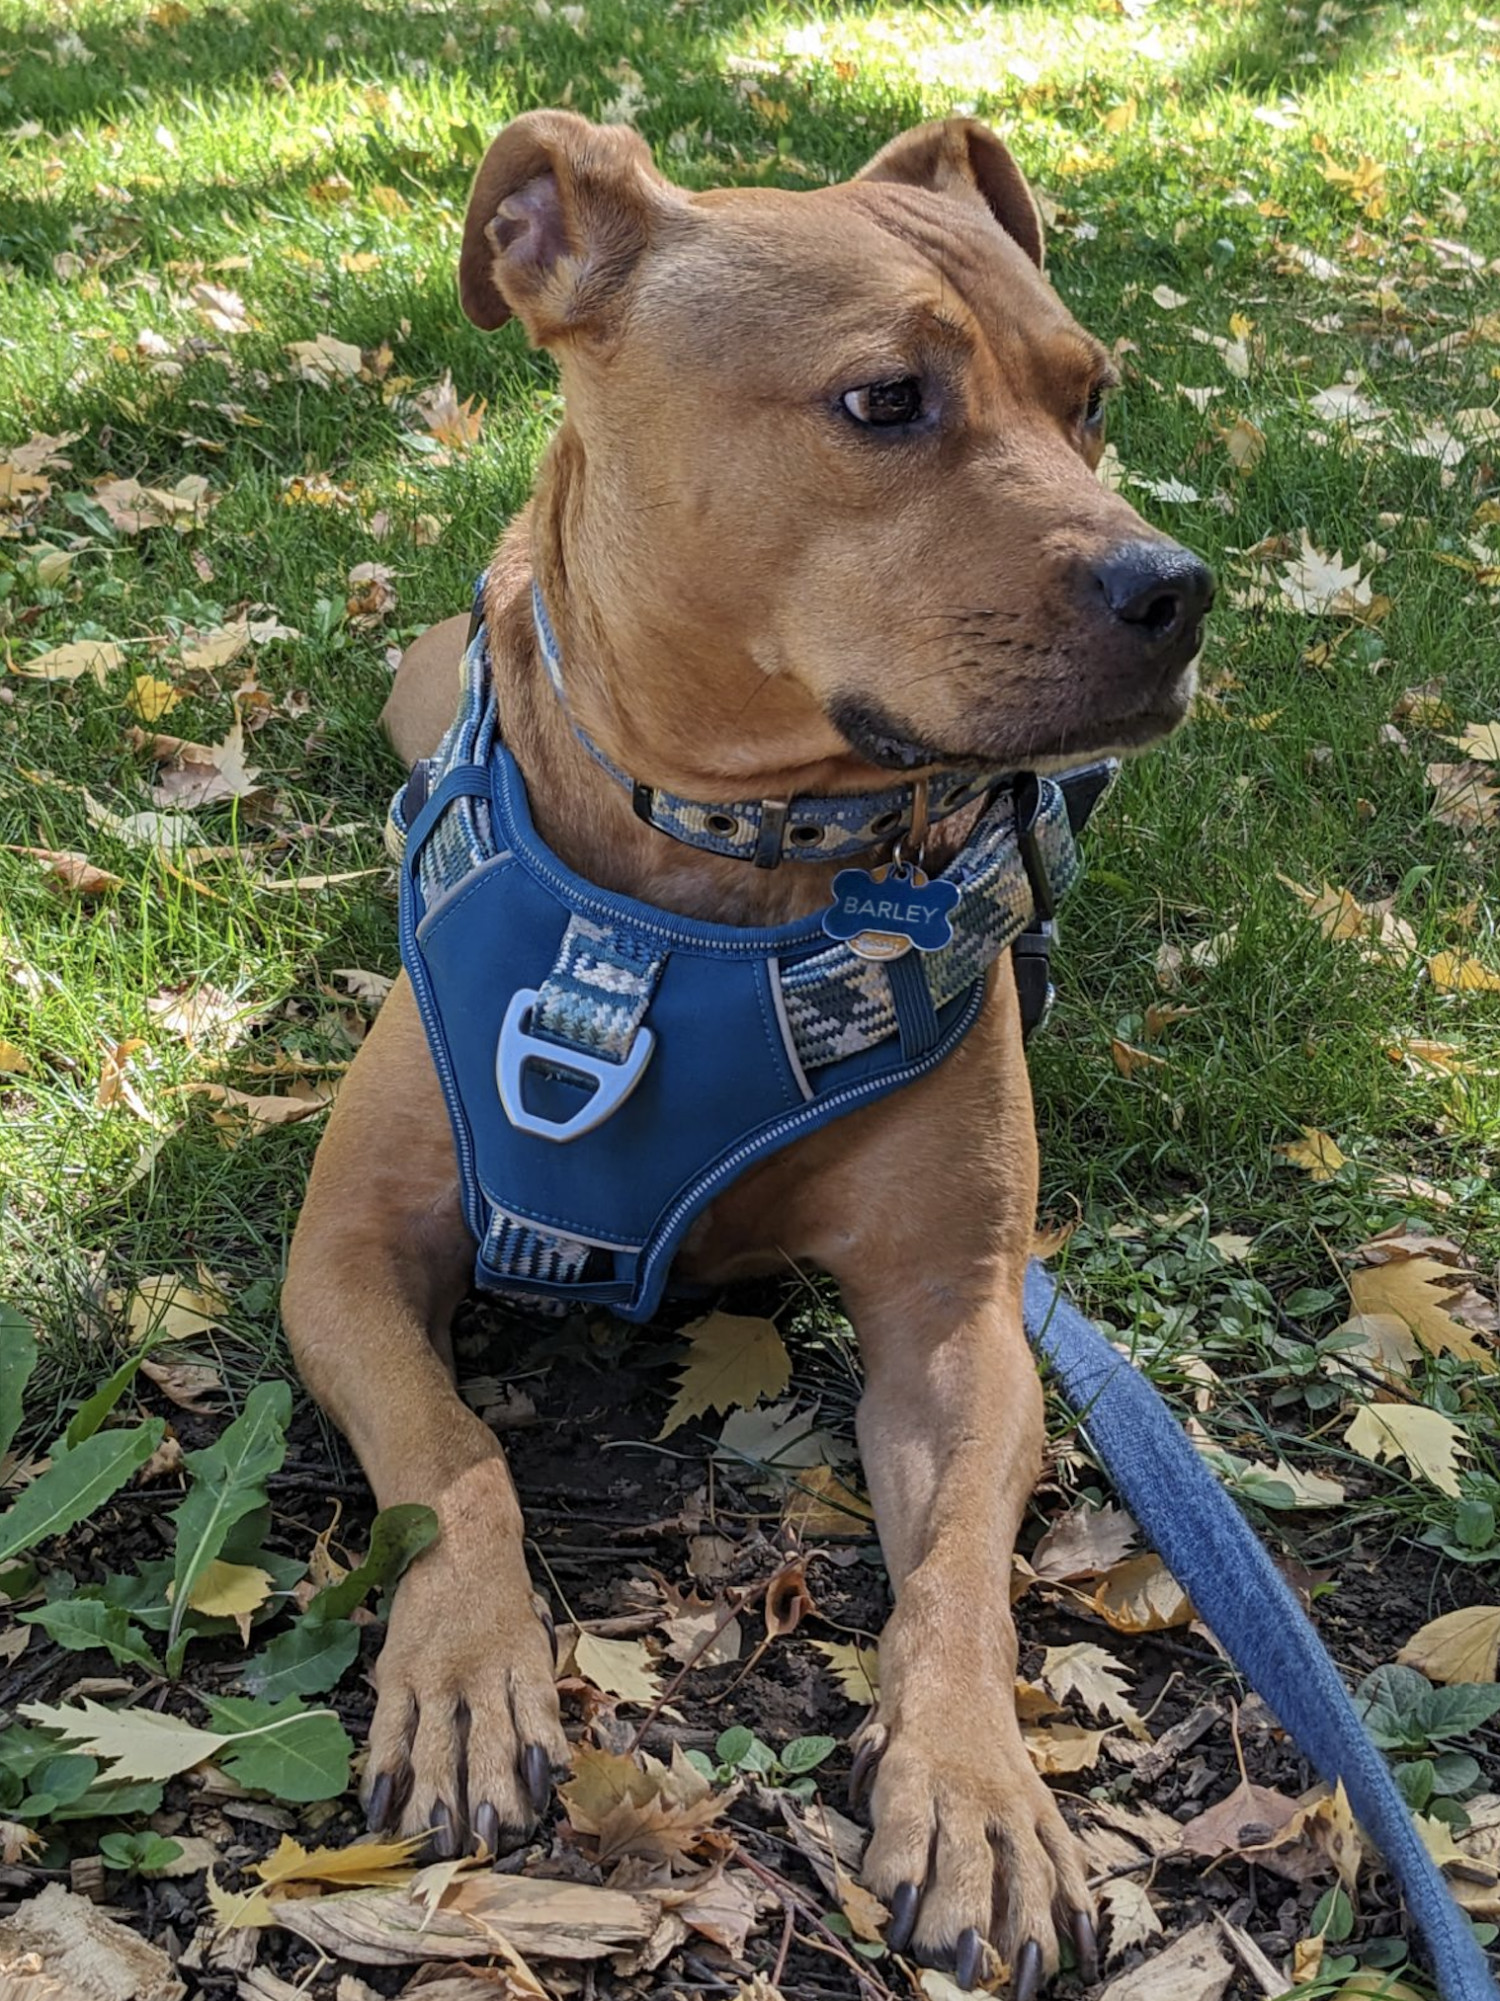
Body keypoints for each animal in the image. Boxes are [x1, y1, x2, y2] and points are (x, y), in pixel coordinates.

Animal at [282, 113, 1216, 2000]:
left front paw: (980, 1792)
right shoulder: (343, 1253)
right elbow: (452, 1453)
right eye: (885, 401)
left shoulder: (958, 1320)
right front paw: (468, 1670)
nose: (1178, 586)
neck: (725, 863)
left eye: (1090, 395)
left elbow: (960, 1569)